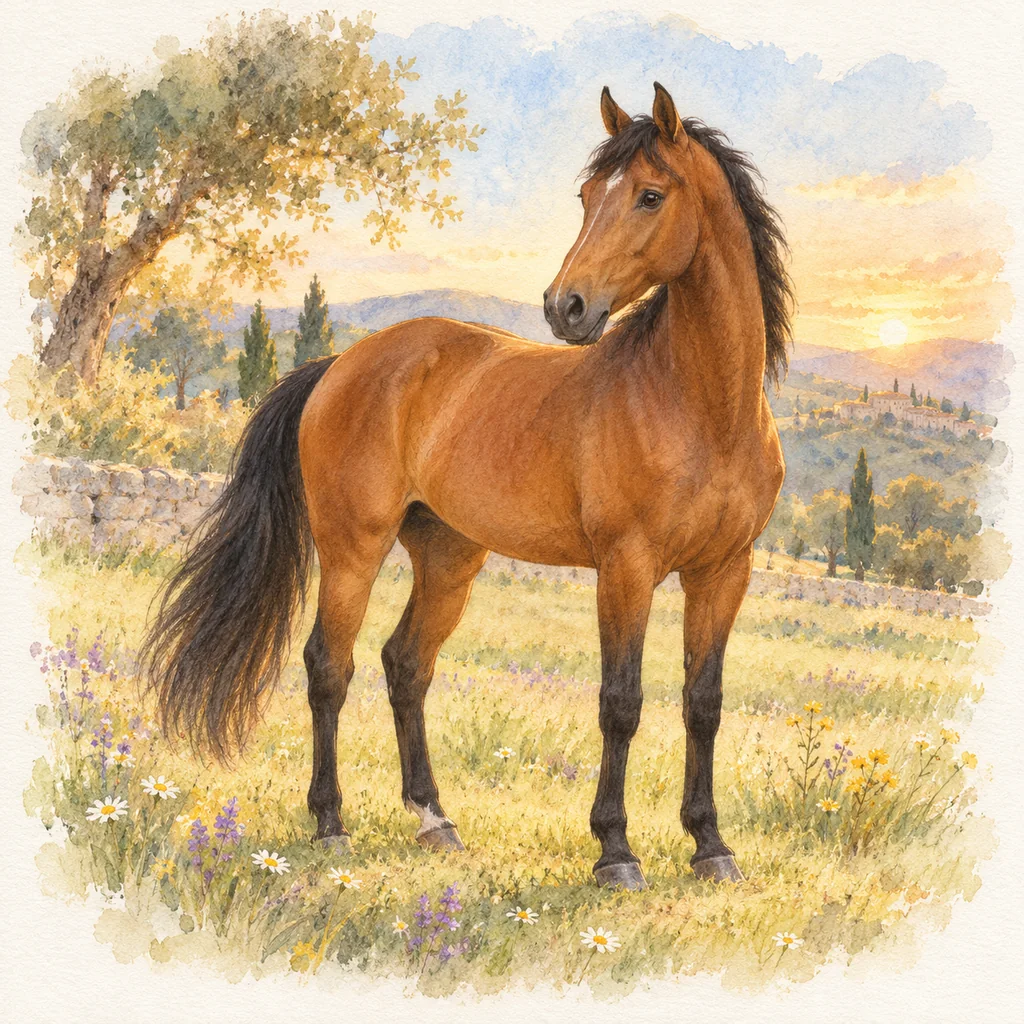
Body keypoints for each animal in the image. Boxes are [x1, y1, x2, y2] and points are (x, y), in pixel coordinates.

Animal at [143, 82, 792, 890]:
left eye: (649, 195)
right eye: (587, 196)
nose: (565, 307)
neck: (702, 408)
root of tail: (341, 364)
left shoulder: (724, 572)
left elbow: (703, 703)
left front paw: (710, 845)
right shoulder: (626, 568)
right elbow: (621, 702)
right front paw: (615, 851)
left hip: (450, 557)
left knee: (405, 665)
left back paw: (434, 819)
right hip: (353, 549)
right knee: (330, 666)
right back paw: (330, 824)